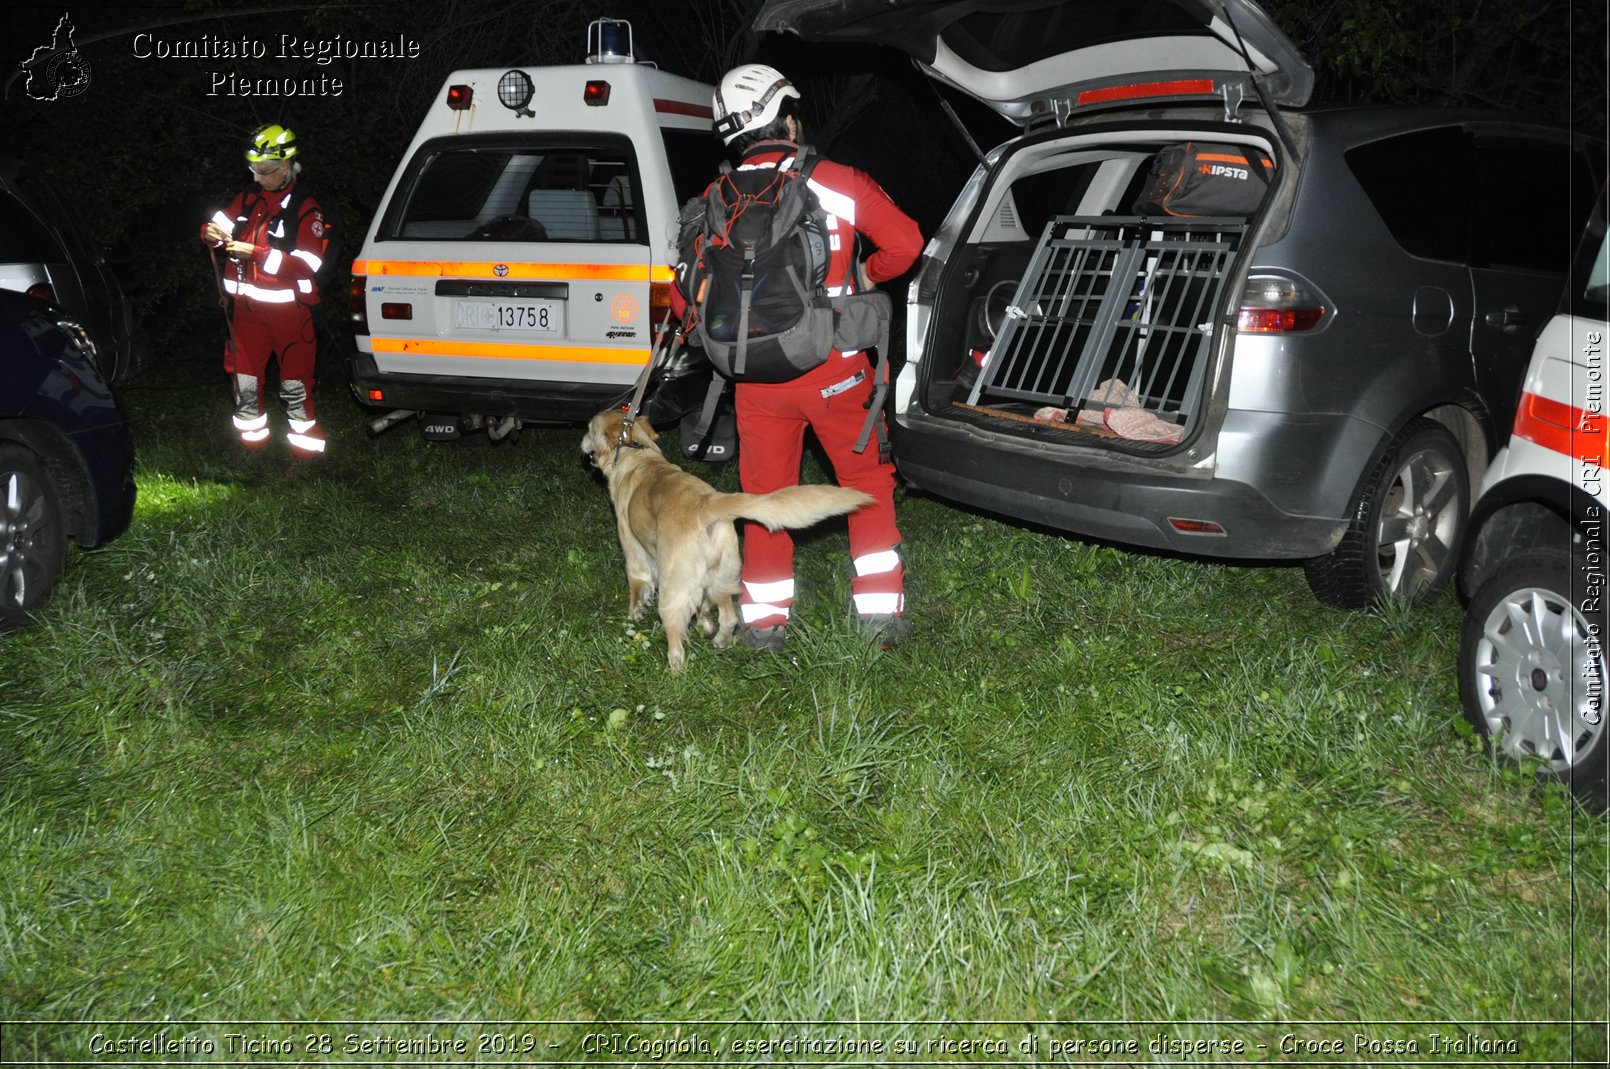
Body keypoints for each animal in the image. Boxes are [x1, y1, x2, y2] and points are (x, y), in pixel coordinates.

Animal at [586, 407, 875, 669]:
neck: (636, 451)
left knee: (677, 634)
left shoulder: (633, 552)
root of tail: (705, 504)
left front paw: (633, 617)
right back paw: (720, 641)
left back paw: (676, 671)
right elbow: (704, 608)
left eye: (590, 430)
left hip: (674, 589)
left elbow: (637, 588)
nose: (583, 444)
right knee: (729, 618)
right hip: (723, 578)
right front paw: (705, 625)